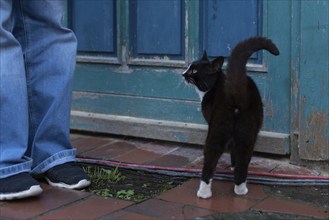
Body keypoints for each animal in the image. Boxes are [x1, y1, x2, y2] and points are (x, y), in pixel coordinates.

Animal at [181, 36, 278, 198]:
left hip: (217, 130)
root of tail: (235, 91)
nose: (183, 73)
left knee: (210, 160)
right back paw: (240, 190)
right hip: (247, 132)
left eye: (193, 70)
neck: (215, 86)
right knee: (243, 162)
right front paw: (233, 166)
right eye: (188, 66)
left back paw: (203, 193)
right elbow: (235, 153)